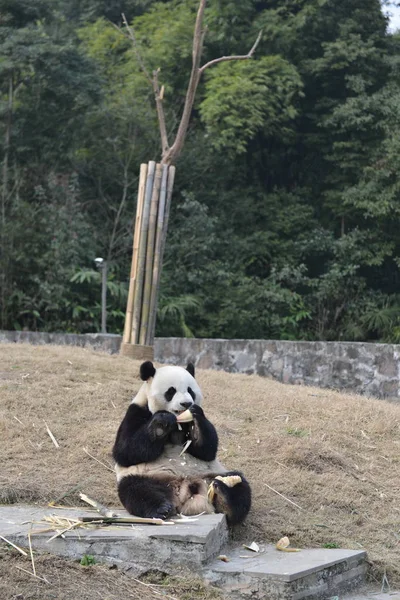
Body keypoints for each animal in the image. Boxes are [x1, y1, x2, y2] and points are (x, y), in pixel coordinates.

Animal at [111, 360, 250, 524]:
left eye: (190, 390)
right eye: (171, 391)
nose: (186, 403)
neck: (177, 423)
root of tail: (185, 489)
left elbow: (207, 451)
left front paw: (195, 416)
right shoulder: (137, 410)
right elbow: (125, 451)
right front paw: (161, 423)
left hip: (212, 474)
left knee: (239, 484)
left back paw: (225, 498)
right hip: (150, 476)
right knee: (136, 489)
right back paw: (161, 508)